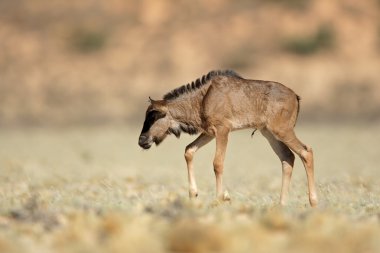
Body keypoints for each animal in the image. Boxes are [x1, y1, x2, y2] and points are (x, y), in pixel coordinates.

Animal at [139, 70, 318, 207]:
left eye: (155, 115)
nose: (142, 140)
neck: (203, 97)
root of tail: (295, 96)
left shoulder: (222, 130)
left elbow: (217, 163)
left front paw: (220, 199)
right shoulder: (209, 133)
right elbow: (188, 150)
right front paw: (193, 194)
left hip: (282, 131)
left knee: (306, 152)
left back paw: (313, 202)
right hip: (269, 133)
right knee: (288, 158)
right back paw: (281, 204)